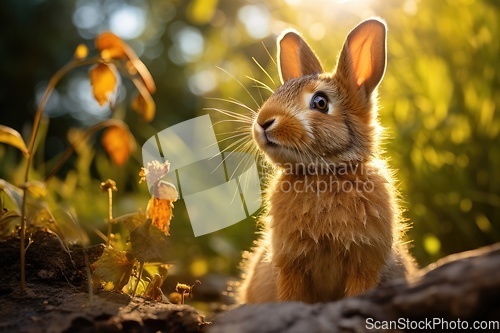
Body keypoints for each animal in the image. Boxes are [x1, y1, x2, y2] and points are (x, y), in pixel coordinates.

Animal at [238, 18, 418, 304]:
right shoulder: (291, 266)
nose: (263, 122)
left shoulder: (365, 262)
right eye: (276, 93)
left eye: (320, 102)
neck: (323, 173)